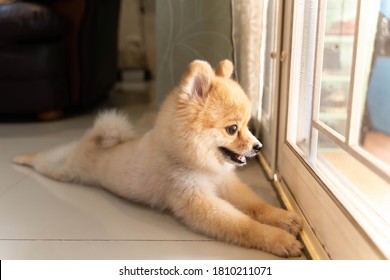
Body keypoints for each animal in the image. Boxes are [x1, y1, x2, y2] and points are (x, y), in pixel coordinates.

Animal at [13, 60, 304, 258]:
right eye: (232, 129)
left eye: (248, 125)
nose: (259, 146)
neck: (198, 163)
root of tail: (97, 139)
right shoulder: (197, 200)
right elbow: (243, 224)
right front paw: (278, 239)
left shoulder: (226, 183)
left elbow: (255, 205)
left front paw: (283, 218)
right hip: (63, 167)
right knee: (44, 158)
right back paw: (20, 157)